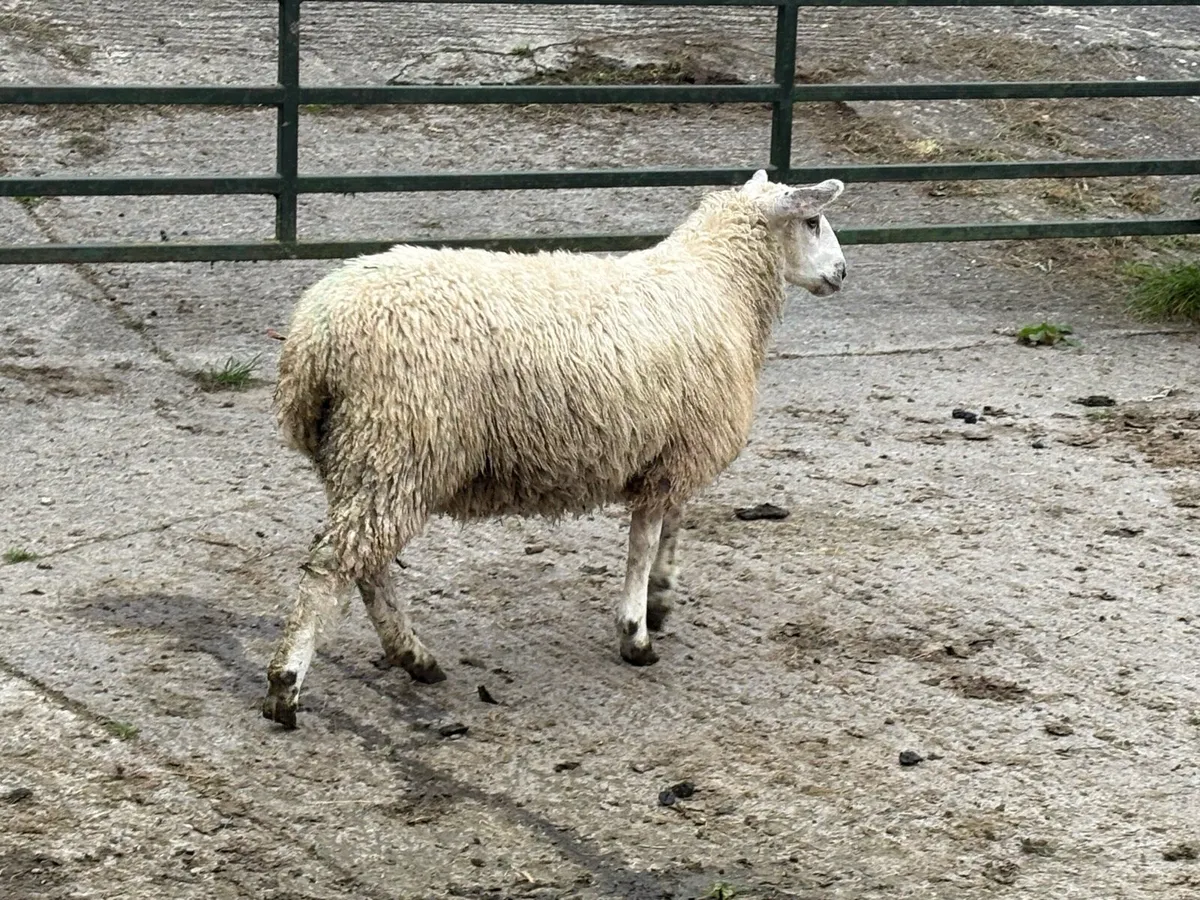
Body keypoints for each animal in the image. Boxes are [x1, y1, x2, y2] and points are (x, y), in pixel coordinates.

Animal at [261, 169, 847, 728]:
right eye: (813, 221)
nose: (842, 272)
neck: (718, 282)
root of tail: (315, 339)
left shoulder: (674, 449)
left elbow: (671, 526)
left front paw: (659, 599)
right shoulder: (674, 453)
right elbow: (644, 539)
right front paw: (636, 633)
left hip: (362, 457)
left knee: (365, 566)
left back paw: (412, 656)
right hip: (397, 444)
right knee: (333, 568)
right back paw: (286, 687)